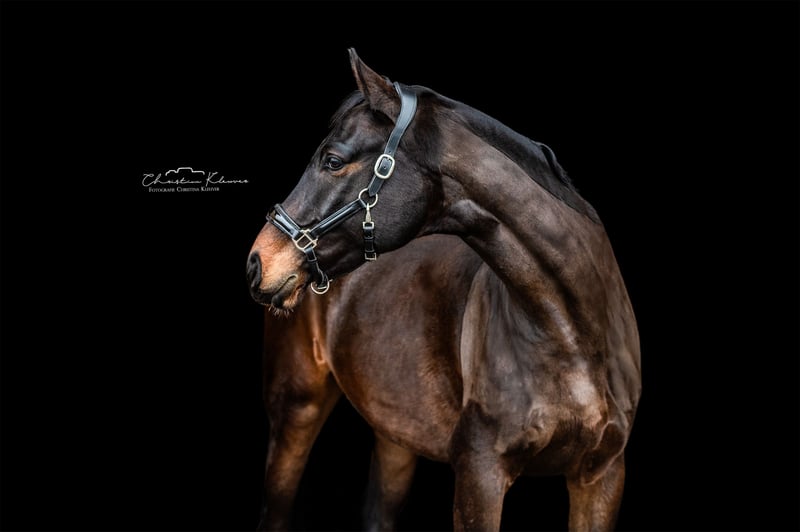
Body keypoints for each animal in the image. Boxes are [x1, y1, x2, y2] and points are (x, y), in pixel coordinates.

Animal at [247, 49, 641, 531]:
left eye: (333, 160)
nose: (258, 261)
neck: (573, 337)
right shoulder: (480, 473)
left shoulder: (601, 477)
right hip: (296, 409)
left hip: (395, 431)